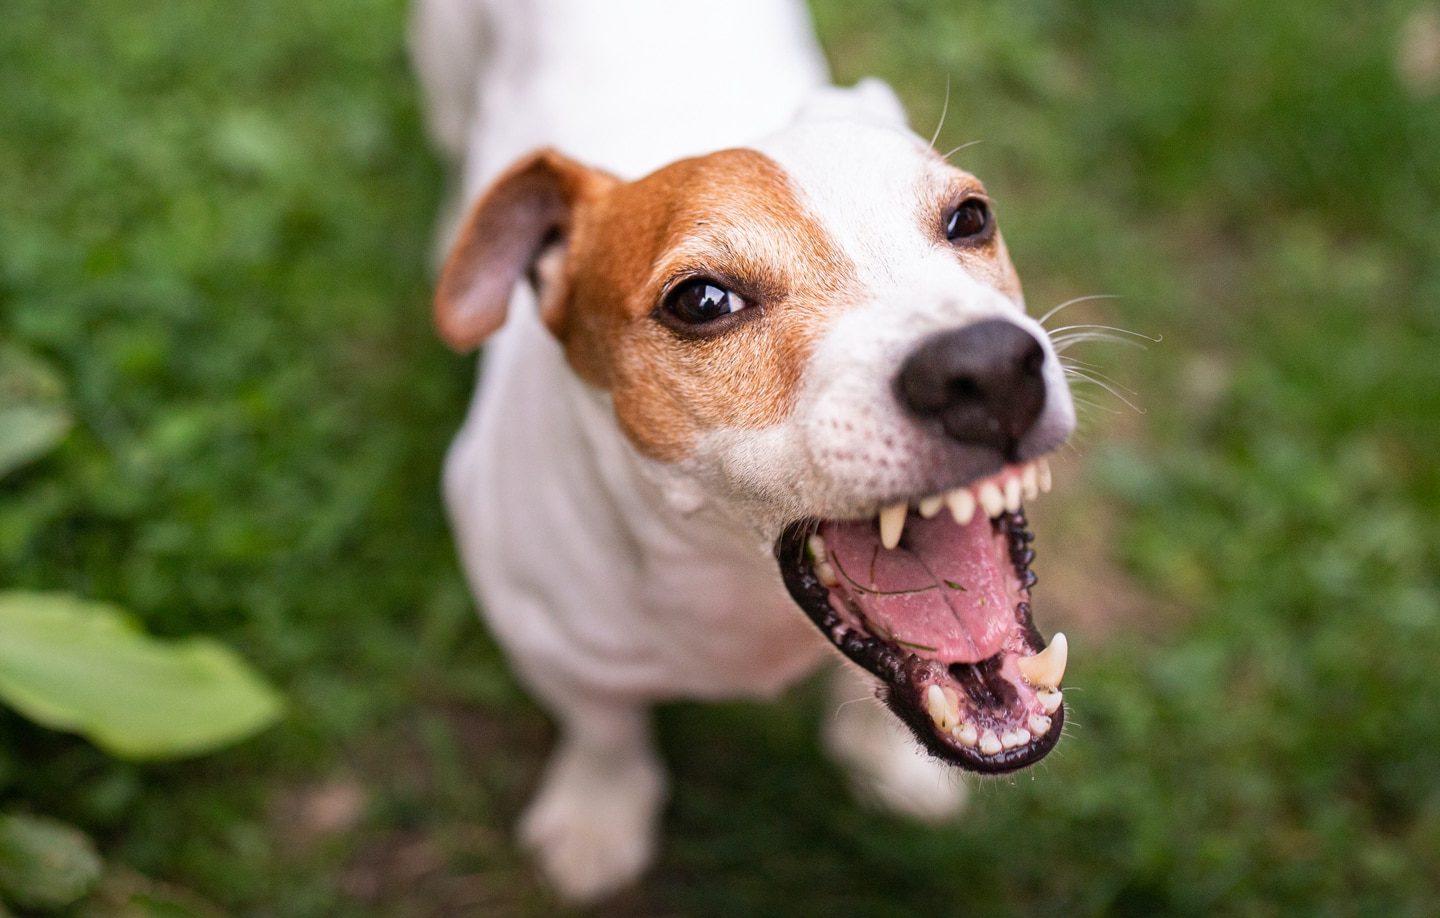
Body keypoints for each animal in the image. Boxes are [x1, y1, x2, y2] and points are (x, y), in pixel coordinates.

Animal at [411, 0, 1077, 909]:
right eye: (701, 301)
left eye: (969, 218)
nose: (986, 366)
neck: (735, 588)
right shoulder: (547, 646)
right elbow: (604, 729)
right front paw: (598, 814)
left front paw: (885, 765)